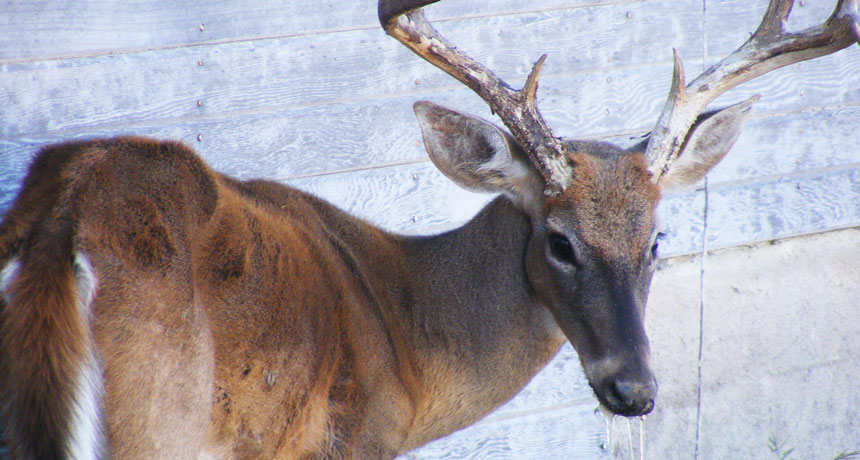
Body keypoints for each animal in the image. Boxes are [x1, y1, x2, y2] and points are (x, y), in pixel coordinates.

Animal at [0, 0, 856, 458]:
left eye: (656, 242)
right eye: (560, 241)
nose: (635, 390)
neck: (409, 344)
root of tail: (65, 219)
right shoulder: (351, 441)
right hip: (158, 416)